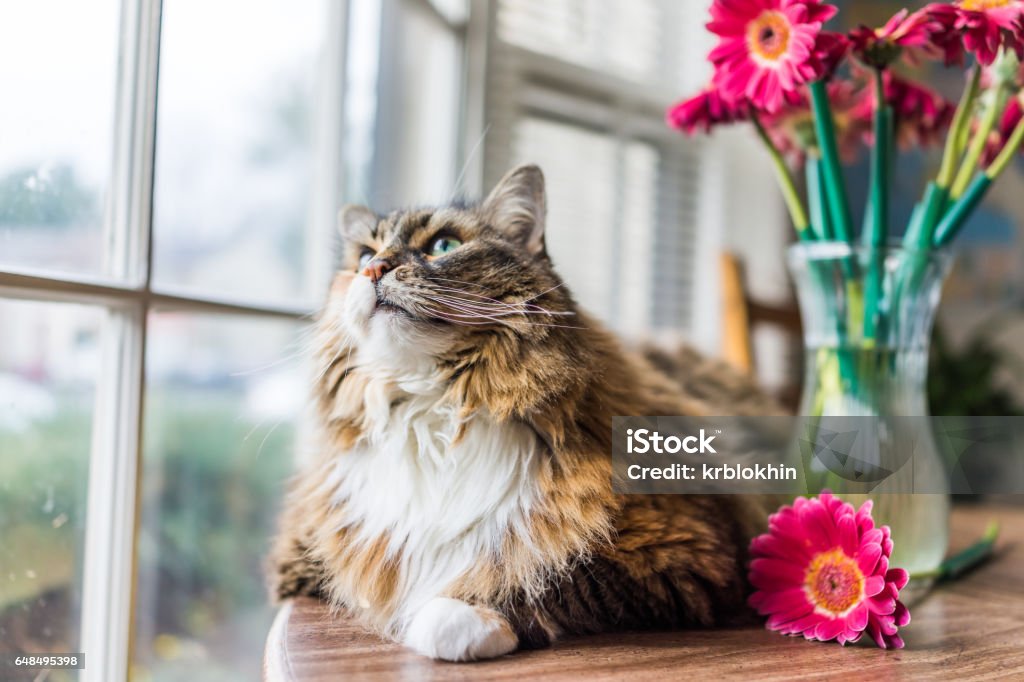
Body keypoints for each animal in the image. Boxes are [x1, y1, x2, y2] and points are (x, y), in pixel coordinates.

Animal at [268, 163, 778, 659]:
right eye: (362, 257)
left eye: (443, 245)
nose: (373, 269)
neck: (433, 412)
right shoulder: (304, 556)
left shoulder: (689, 550)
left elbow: (545, 571)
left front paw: (457, 618)